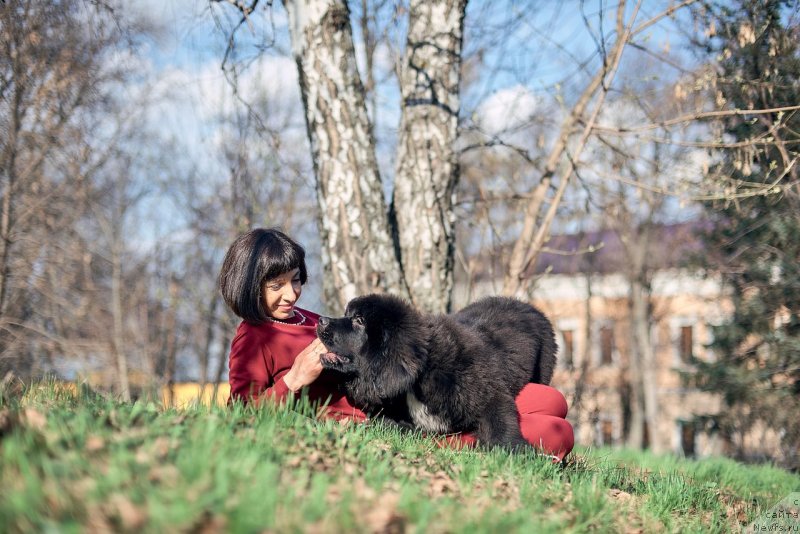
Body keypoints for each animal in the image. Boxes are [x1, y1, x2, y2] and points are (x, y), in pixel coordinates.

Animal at [314, 296, 556, 450]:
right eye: (347, 314)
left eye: (359, 321)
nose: (322, 320)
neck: (420, 375)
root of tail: (527, 305)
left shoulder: (488, 393)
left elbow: (500, 424)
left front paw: (518, 452)